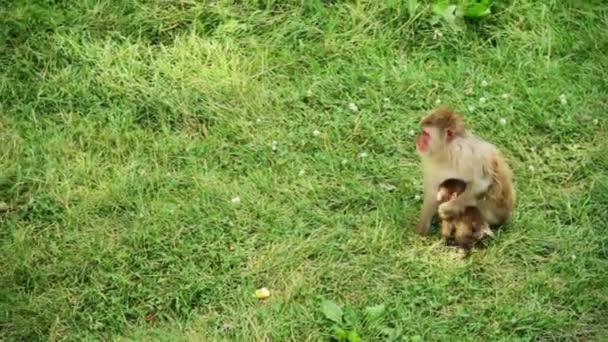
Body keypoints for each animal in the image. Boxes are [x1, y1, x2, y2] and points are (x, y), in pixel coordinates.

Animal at [414, 107, 512, 235]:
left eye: (425, 134)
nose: (418, 141)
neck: (446, 152)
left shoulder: (467, 155)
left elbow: (481, 184)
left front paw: (448, 208)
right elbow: (432, 191)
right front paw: (421, 231)